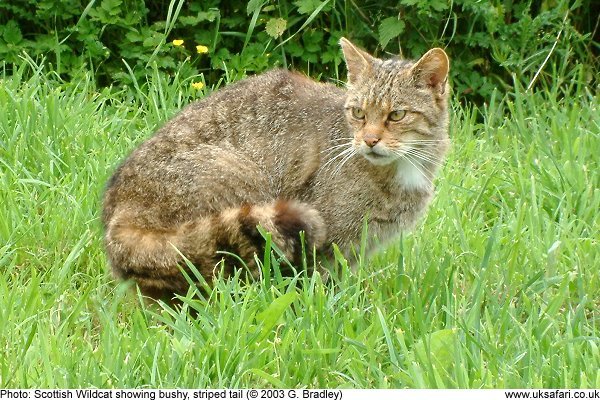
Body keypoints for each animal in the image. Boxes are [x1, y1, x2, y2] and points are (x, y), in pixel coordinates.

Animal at [103, 38, 450, 300]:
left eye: (396, 115)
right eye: (359, 113)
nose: (369, 140)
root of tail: (118, 214)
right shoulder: (324, 243)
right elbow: (315, 285)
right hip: (239, 180)